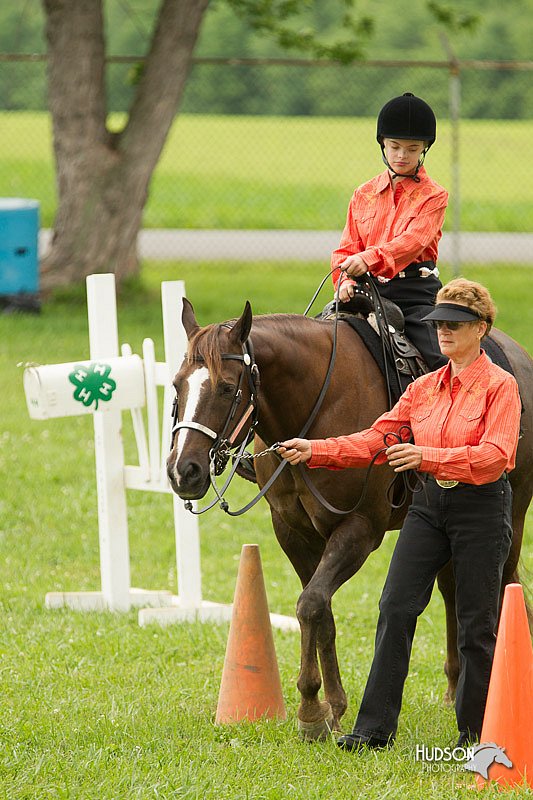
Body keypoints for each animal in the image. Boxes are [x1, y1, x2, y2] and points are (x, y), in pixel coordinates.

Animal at [167, 302, 532, 744]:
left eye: (225, 388)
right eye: (176, 385)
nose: (184, 471)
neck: (315, 407)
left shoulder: (359, 531)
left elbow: (310, 605)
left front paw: (311, 709)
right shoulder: (292, 532)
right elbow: (319, 609)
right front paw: (331, 708)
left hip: (511, 520)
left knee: (503, 588)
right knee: (451, 589)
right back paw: (452, 687)